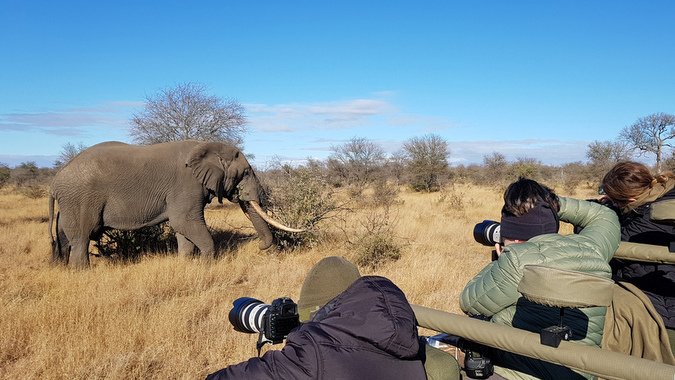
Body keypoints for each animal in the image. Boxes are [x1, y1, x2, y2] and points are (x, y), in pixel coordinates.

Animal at [47, 140, 302, 268]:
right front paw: (205, 266)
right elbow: (185, 222)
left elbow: (183, 228)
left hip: (70, 202)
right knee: (81, 238)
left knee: (64, 237)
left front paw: (186, 264)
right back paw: (82, 272)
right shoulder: (186, 184)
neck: (207, 146)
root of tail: (55, 180)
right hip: (80, 199)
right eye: (246, 172)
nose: (261, 247)